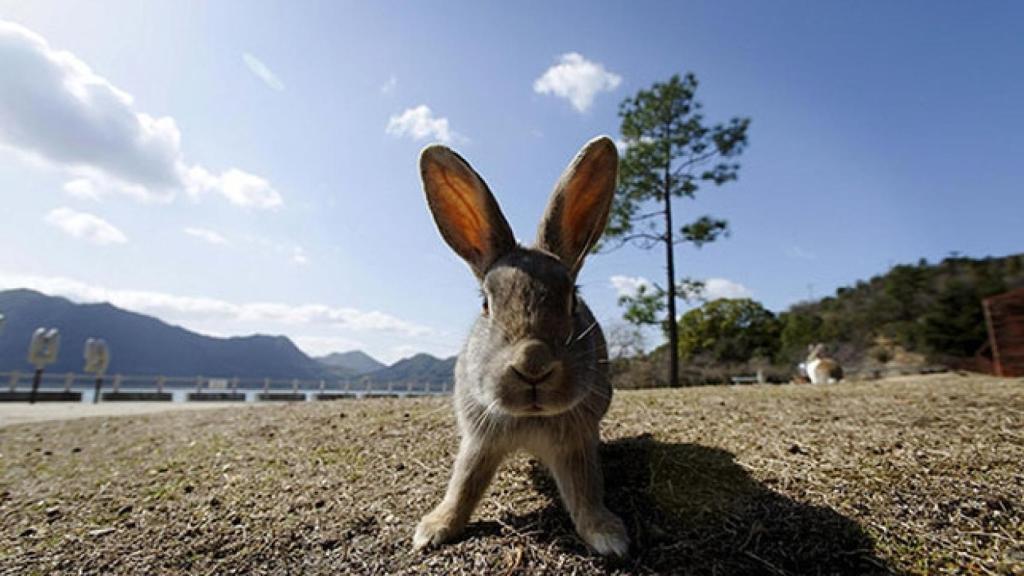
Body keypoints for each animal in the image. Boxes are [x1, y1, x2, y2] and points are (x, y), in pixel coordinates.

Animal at [411, 135, 626, 557]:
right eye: (486, 304)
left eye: (572, 300)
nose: (533, 363)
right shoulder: (479, 440)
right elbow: (464, 484)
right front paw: (434, 529)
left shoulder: (576, 442)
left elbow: (586, 490)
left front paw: (608, 535)